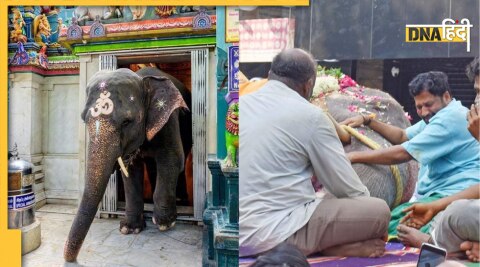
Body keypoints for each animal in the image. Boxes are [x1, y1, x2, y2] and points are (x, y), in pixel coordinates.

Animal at [63, 67, 191, 264]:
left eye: (126, 122)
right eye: (84, 120)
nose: (70, 259)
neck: (142, 79)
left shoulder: (168, 118)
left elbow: (172, 158)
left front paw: (165, 223)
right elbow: (130, 171)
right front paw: (128, 229)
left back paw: (179, 202)